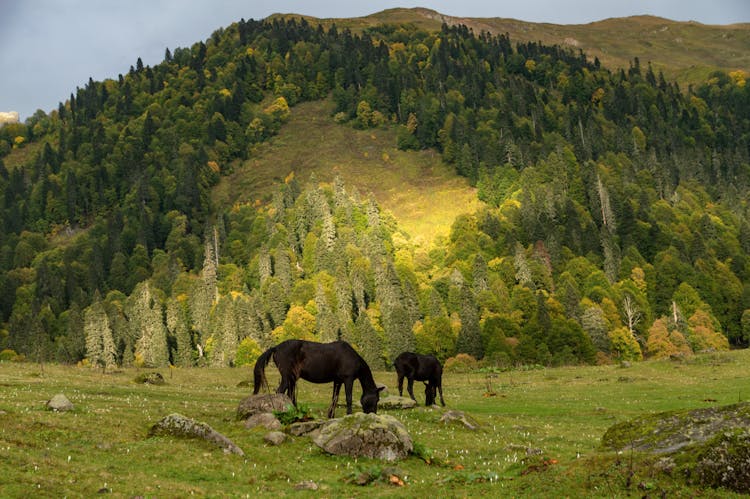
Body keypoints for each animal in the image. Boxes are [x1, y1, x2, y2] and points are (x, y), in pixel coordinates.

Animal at [254, 340, 384, 418]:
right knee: (280, 392)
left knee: (290, 395)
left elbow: (335, 398)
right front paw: (348, 415)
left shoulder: (337, 381)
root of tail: (276, 348)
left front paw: (331, 416)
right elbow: (349, 398)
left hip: (292, 379)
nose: (373, 414)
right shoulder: (348, 379)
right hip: (287, 378)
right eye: (376, 399)